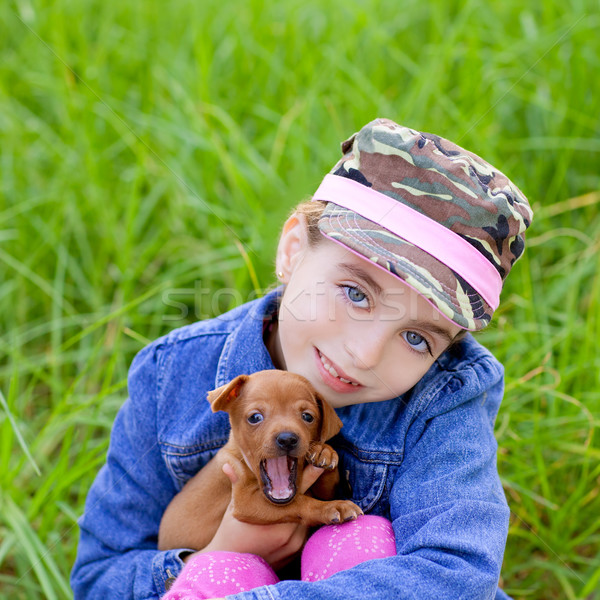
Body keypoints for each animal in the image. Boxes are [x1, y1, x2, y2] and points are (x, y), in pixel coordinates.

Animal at [157, 370, 360, 552]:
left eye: (307, 416)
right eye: (255, 417)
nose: (287, 439)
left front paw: (323, 451)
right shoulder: (245, 502)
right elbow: (300, 503)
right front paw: (333, 507)